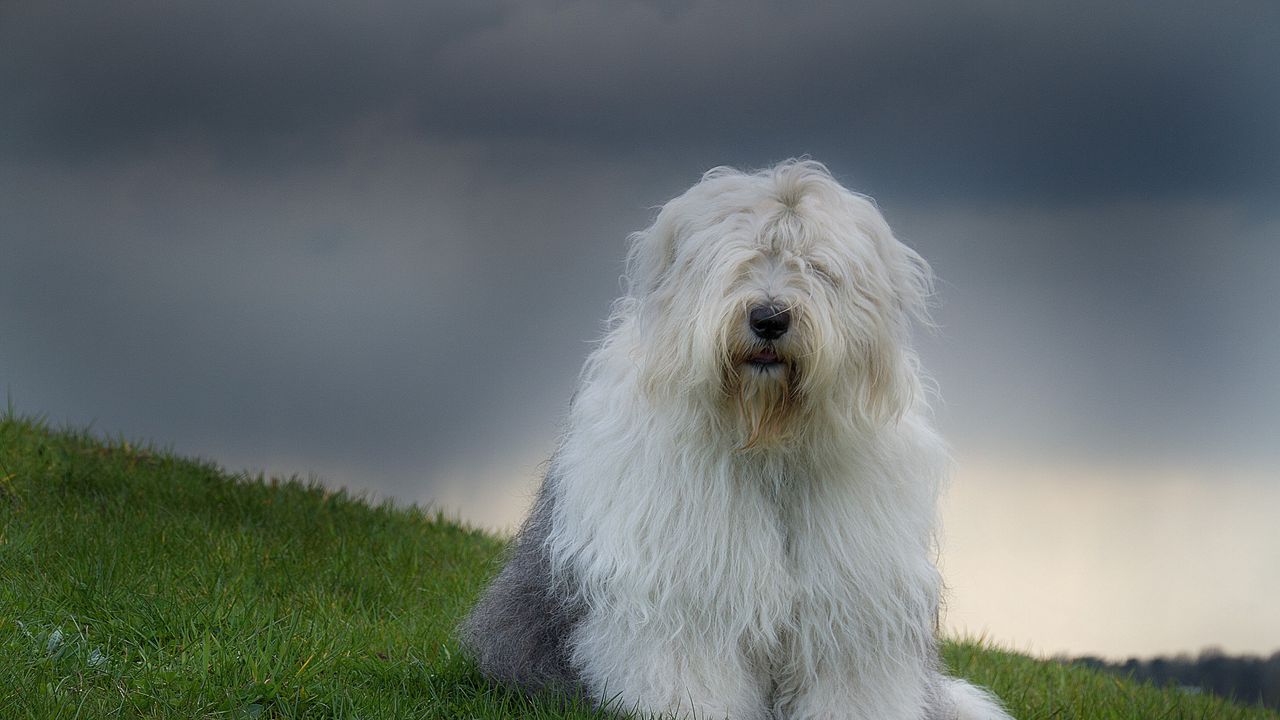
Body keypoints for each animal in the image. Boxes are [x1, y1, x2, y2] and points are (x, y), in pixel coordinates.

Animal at [460, 161, 1008, 717]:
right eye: (739, 261)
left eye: (817, 267)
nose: (769, 318)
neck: (766, 440)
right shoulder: (686, 591)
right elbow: (689, 671)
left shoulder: (850, 606)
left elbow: (850, 682)